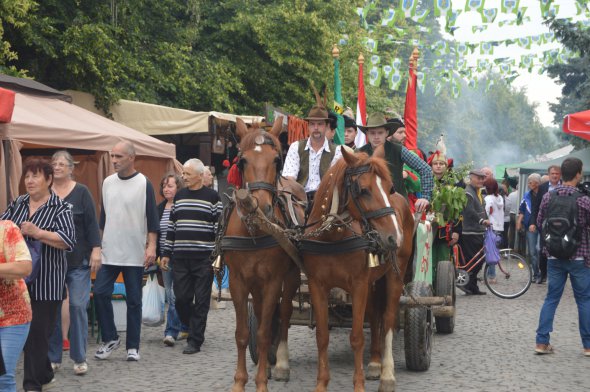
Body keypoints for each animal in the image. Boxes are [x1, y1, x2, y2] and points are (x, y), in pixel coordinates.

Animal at [222, 118, 306, 392]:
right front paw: (239, 382)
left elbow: (264, 332)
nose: (262, 207)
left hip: (291, 276)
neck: (255, 230)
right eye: (242, 161)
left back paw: (280, 364)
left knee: (285, 313)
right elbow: (243, 334)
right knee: (261, 314)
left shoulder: (272, 281)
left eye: (277, 160)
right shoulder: (238, 281)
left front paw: (260, 382)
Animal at [302, 146, 414, 392]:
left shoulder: (359, 285)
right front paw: (321, 383)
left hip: (396, 273)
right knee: (375, 316)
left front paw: (359, 385)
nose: (395, 236)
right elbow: (322, 336)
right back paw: (374, 363)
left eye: (389, 188)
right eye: (362, 190)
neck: (332, 238)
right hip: (373, 283)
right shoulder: (317, 286)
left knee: (388, 319)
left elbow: (357, 337)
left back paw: (387, 374)